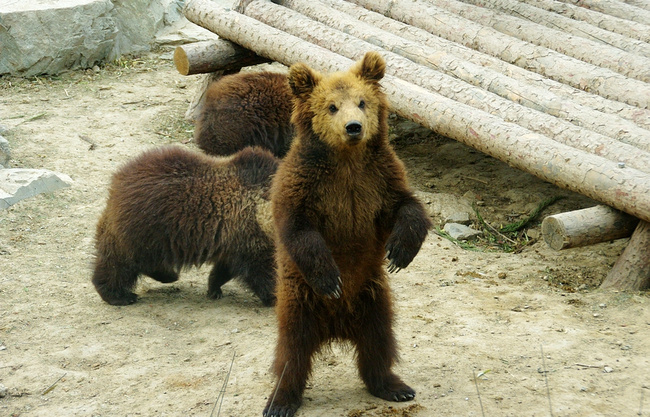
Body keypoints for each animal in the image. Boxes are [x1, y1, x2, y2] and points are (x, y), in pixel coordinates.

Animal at [90, 145, 276, 306]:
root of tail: (117, 182)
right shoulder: (249, 234)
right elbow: (262, 270)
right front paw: (273, 296)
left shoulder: (233, 239)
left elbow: (225, 268)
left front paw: (214, 288)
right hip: (146, 227)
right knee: (123, 263)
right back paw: (121, 295)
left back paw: (167, 275)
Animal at [264, 52, 430, 416]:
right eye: (331, 106)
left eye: (362, 101)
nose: (354, 127)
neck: (346, 161)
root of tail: (336, 327)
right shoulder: (304, 184)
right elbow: (299, 230)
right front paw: (331, 279)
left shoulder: (379, 179)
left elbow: (408, 207)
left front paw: (399, 252)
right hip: (300, 299)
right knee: (292, 351)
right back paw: (281, 400)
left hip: (373, 296)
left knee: (379, 341)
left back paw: (393, 386)